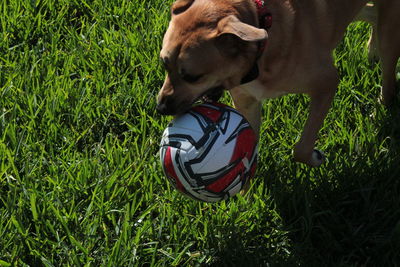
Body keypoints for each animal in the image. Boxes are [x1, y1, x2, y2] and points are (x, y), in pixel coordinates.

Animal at [156, 0, 400, 168]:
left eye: (193, 77)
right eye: (164, 64)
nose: (161, 108)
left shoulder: (327, 82)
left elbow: (301, 148)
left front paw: (315, 157)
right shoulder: (247, 100)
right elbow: (250, 139)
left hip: (390, 27)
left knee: (388, 68)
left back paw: (381, 107)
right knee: (372, 13)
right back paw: (371, 51)